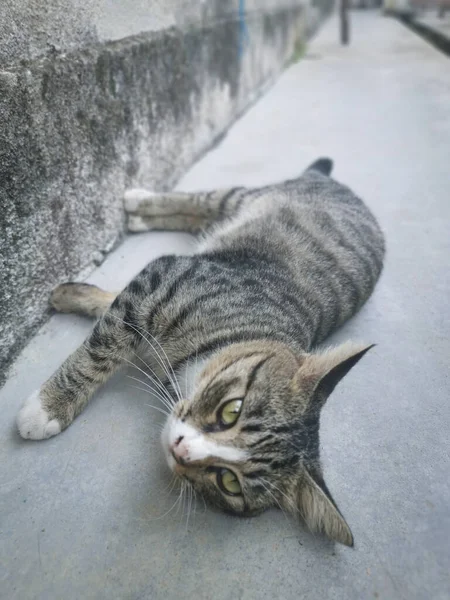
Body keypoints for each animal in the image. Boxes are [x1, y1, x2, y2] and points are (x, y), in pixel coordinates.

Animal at [16, 157, 384, 548]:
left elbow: (109, 317)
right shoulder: (163, 277)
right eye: (232, 410)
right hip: (242, 199)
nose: (181, 448)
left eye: (228, 481)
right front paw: (48, 406)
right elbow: (101, 346)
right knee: (202, 202)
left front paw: (74, 297)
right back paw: (139, 200)